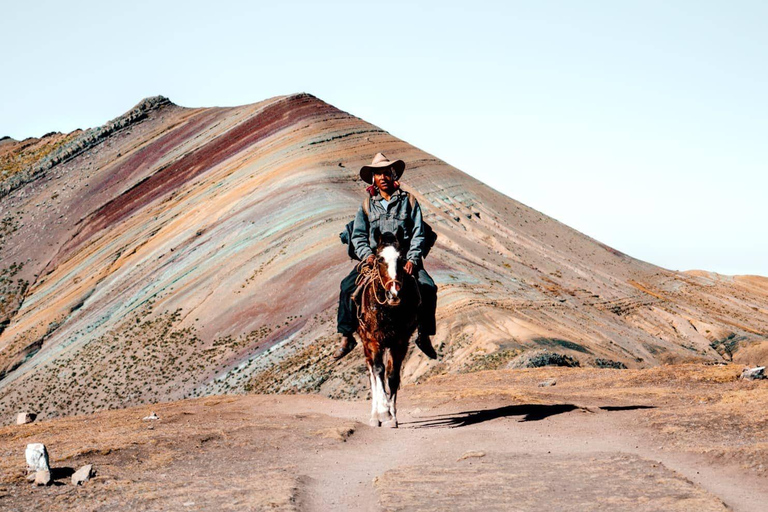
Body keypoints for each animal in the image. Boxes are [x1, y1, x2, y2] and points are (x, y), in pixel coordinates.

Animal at [356, 229, 420, 428]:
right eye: (379, 258)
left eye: (401, 258)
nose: (394, 294)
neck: (388, 310)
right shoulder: (373, 340)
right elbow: (378, 371)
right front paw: (383, 412)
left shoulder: (400, 342)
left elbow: (392, 375)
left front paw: (392, 416)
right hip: (366, 343)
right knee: (372, 373)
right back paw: (374, 416)